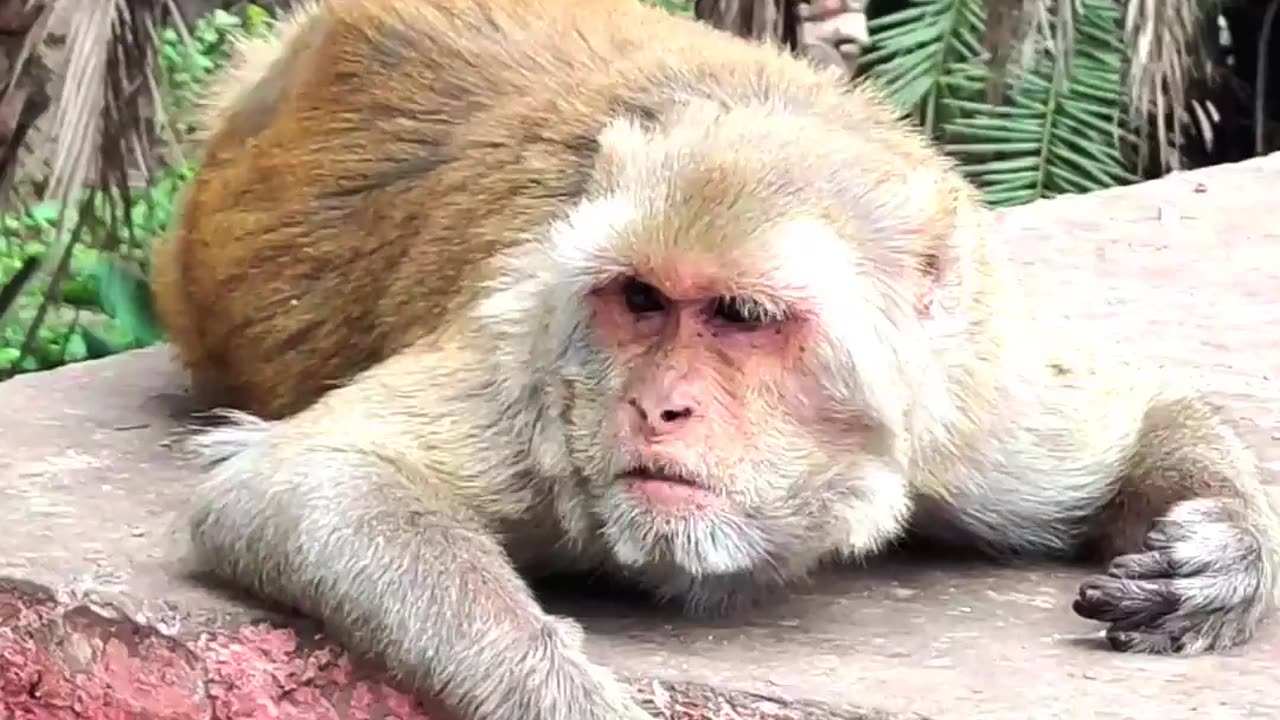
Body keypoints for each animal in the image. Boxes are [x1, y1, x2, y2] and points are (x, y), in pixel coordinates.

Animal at [149, 1, 1280, 717]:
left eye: (741, 316)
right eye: (641, 302)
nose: (659, 408)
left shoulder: (967, 406)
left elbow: (1137, 425)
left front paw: (1223, 551)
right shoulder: (533, 366)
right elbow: (301, 482)